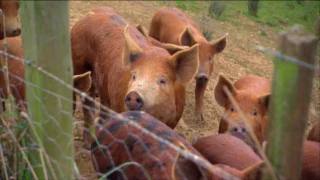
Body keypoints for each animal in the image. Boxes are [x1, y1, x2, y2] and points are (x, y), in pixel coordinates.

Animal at [71, 6, 199, 148]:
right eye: (134, 76)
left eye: (162, 81)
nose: (134, 95)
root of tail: (87, 17)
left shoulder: (173, 122)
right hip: (78, 63)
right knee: (87, 101)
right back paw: (88, 143)